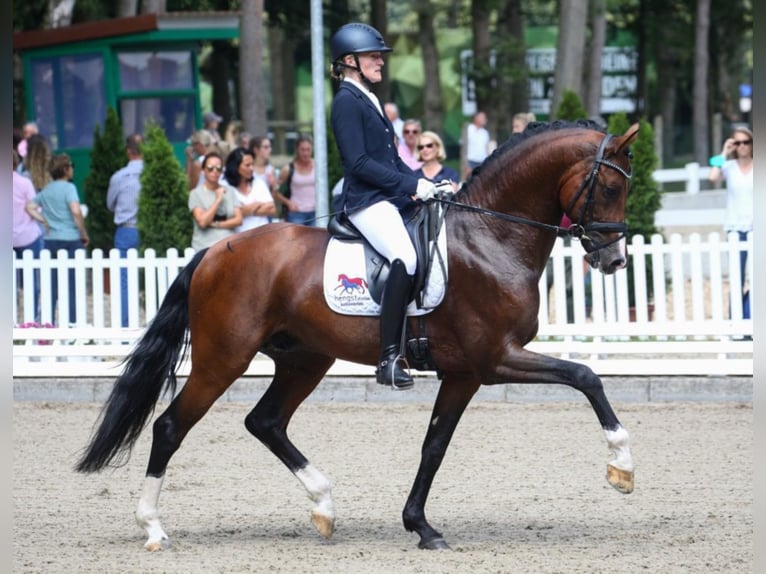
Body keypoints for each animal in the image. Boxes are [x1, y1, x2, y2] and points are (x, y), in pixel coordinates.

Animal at [76, 120, 640, 552]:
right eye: (611, 188)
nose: (614, 262)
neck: (491, 238)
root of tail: (213, 252)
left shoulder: (464, 373)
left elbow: (434, 446)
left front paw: (421, 526)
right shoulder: (495, 359)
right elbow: (585, 376)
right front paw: (622, 466)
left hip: (304, 359)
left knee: (266, 421)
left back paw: (323, 504)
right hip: (223, 359)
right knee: (171, 426)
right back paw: (153, 529)